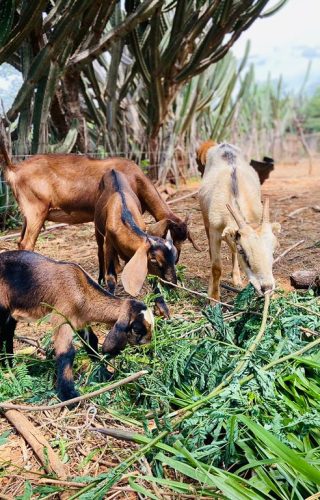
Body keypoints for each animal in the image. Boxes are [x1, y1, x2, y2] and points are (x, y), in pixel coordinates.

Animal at [0, 137, 198, 258]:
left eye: (184, 239)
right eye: (169, 237)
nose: (176, 260)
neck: (136, 178)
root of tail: (14, 169)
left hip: (28, 215)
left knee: (20, 242)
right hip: (36, 211)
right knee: (27, 243)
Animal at [0, 252, 154, 400]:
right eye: (137, 329)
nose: (148, 346)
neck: (80, 289)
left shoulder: (80, 321)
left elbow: (92, 342)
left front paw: (104, 374)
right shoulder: (61, 317)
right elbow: (66, 352)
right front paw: (68, 396)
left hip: (11, 315)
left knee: (7, 334)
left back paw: (8, 366)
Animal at [94, 170, 178, 318]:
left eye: (174, 257)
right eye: (154, 260)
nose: (172, 283)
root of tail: (112, 170)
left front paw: (163, 308)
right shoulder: (108, 243)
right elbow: (111, 277)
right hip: (97, 229)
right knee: (99, 252)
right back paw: (100, 279)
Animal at [199, 144, 282, 300]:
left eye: (274, 249)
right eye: (243, 251)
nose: (267, 288)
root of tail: (224, 144)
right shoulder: (215, 231)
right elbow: (216, 267)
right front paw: (214, 298)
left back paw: (236, 279)